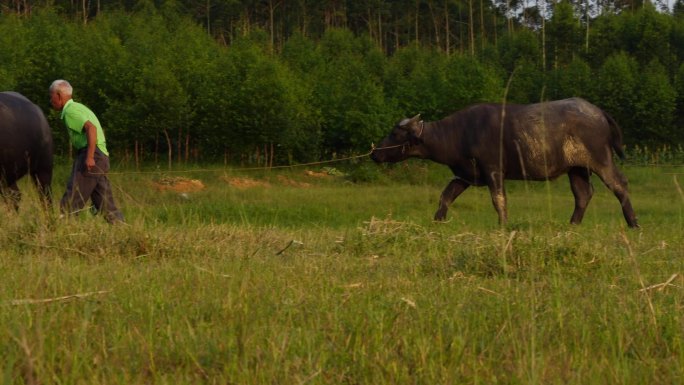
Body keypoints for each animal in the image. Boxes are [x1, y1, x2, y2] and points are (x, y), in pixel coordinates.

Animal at [372, 97, 640, 226]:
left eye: (395, 133)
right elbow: (446, 196)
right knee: (583, 194)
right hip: (576, 168)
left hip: (601, 159)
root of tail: (598, 112)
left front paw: (503, 224)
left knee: (619, 184)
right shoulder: (465, 175)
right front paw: (438, 220)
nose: (375, 153)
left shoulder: (493, 170)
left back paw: (633, 223)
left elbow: (498, 199)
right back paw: (572, 224)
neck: (460, 133)